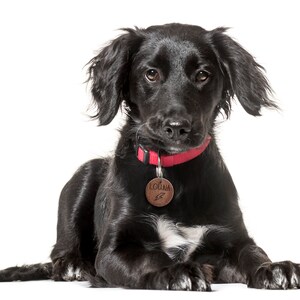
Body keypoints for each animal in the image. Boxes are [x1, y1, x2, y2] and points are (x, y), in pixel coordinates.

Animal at [0, 23, 300, 290]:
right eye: (151, 74)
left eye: (203, 74)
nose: (177, 127)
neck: (171, 172)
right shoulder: (112, 251)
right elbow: (150, 257)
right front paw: (177, 271)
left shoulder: (232, 237)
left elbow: (253, 253)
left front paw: (273, 269)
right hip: (84, 174)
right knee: (60, 252)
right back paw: (72, 266)